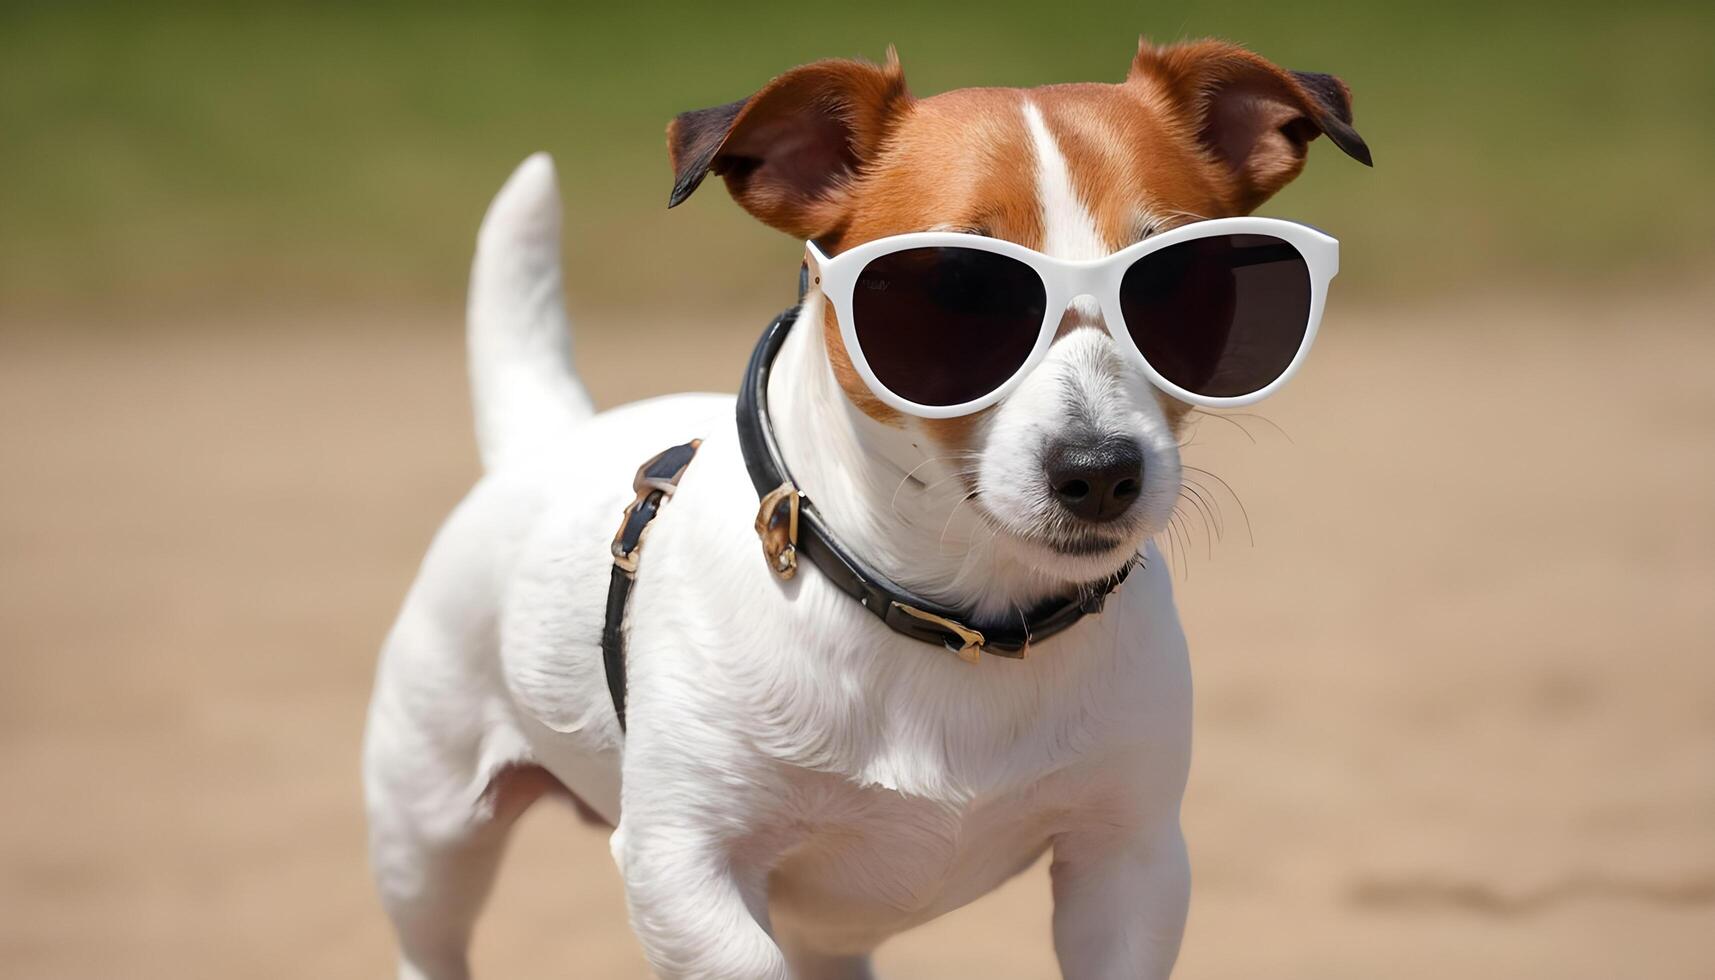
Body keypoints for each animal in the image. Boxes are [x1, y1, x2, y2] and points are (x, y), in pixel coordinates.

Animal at [361, 38, 1365, 980]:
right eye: (952, 292)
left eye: (1186, 285)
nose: (1099, 471)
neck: (956, 618)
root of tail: (549, 434)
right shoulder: (683, 866)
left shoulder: (1129, 859)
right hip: (428, 830)